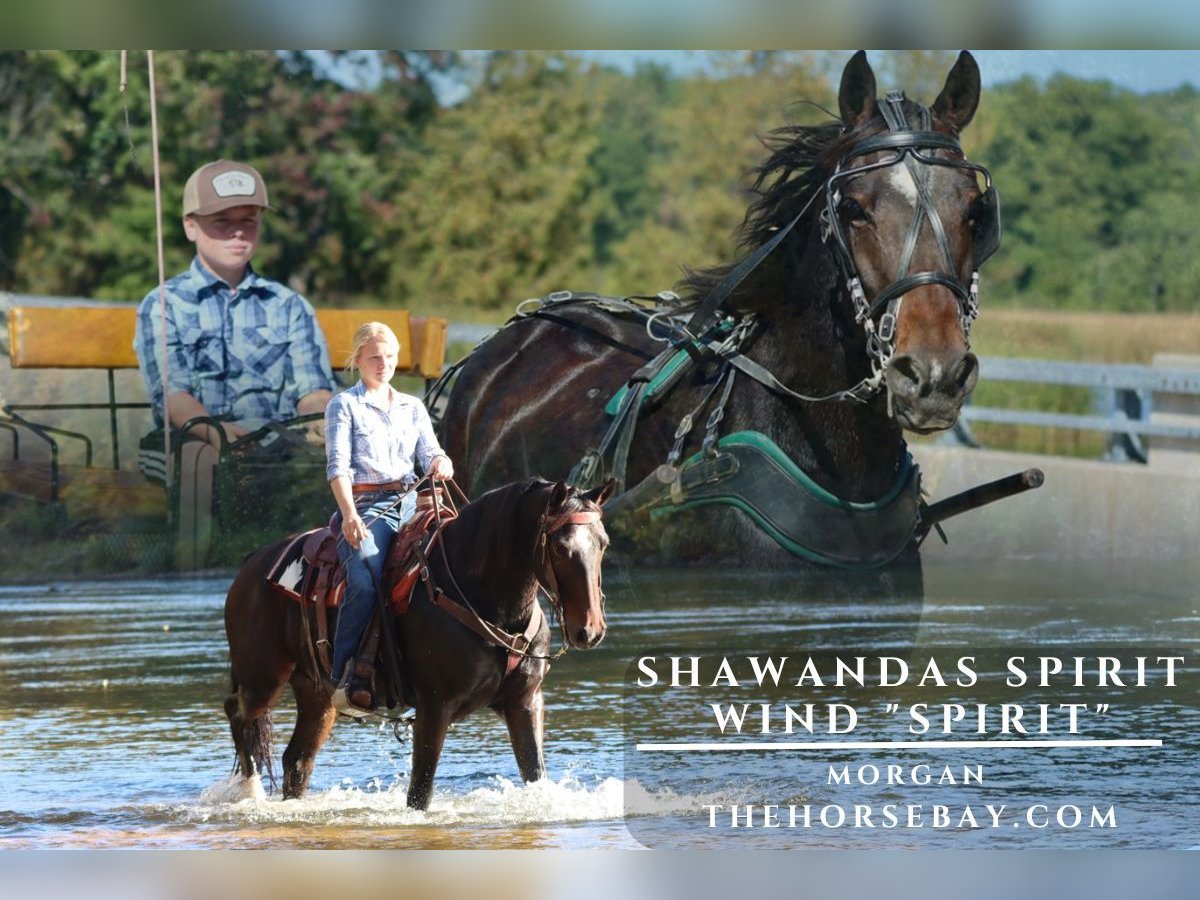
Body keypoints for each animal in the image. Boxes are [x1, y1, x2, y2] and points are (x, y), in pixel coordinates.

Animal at [222, 477, 614, 810]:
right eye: (560, 547)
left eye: (604, 543)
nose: (589, 629)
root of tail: (252, 564)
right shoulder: (433, 708)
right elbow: (420, 794)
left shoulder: (524, 702)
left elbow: (534, 774)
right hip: (263, 677)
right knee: (237, 711)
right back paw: (250, 789)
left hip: (317, 694)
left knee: (298, 759)